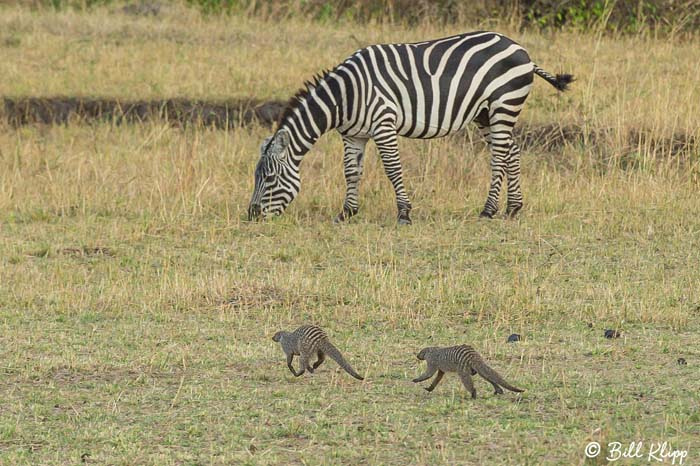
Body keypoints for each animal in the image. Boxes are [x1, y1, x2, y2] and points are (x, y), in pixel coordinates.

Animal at [249, 31, 572, 224]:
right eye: (257, 177)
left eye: (270, 178)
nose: (251, 215)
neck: (344, 96)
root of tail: (520, 49)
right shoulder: (353, 135)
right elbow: (351, 172)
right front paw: (347, 213)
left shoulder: (383, 124)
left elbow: (393, 169)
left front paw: (404, 213)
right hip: (485, 113)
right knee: (511, 152)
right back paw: (513, 208)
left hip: (504, 103)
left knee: (499, 157)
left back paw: (488, 210)